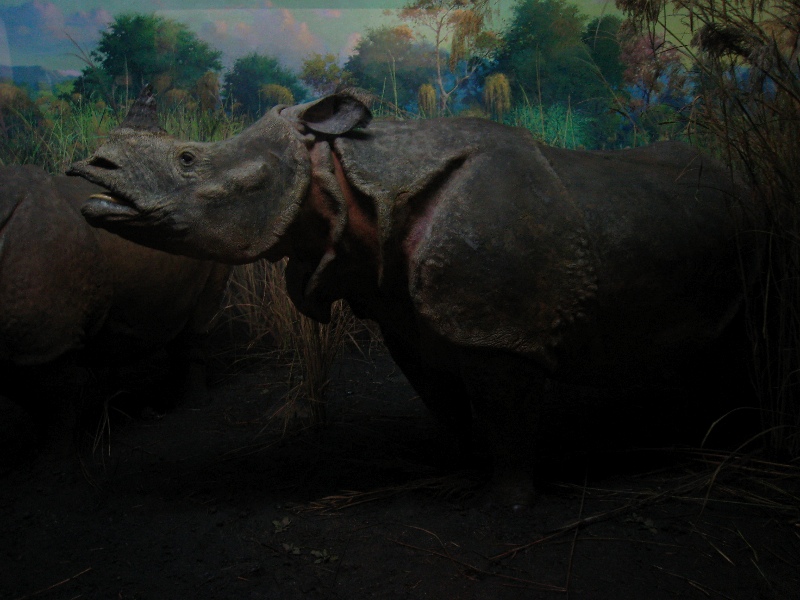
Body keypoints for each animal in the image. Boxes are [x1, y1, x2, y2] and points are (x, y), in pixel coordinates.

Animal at [68, 88, 762, 505]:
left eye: (189, 159)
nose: (88, 170)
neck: (341, 177)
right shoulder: (402, 314)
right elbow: (442, 400)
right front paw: (457, 471)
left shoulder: (499, 329)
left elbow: (506, 415)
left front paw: (510, 502)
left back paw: (723, 448)